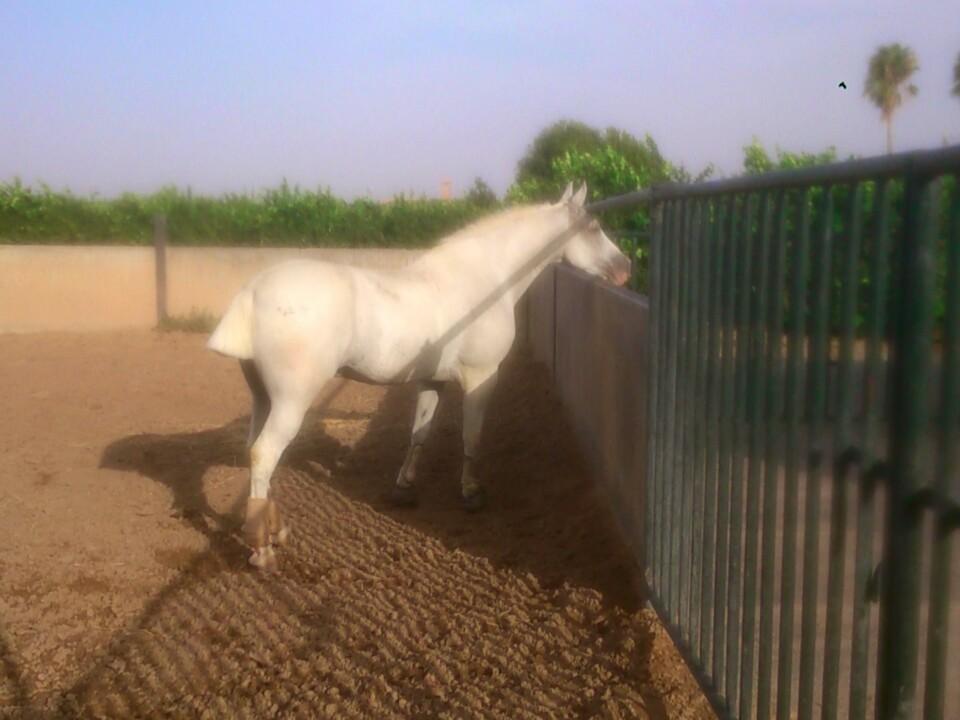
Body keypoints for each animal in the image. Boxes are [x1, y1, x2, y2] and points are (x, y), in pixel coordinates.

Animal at [207, 182, 631, 570]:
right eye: (594, 227)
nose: (625, 268)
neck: (485, 281)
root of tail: (253, 291)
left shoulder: (432, 381)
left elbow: (419, 434)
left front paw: (404, 488)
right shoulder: (481, 378)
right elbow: (472, 436)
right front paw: (471, 493)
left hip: (264, 399)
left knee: (255, 452)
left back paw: (275, 531)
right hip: (291, 402)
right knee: (265, 454)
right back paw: (263, 551)